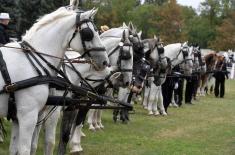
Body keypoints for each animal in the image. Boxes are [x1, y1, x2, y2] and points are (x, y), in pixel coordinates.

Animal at [0, 6, 108, 154]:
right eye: (89, 33)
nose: (105, 61)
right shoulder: (28, 115)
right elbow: (28, 148)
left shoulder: (18, 116)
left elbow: (15, 149)